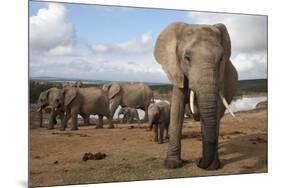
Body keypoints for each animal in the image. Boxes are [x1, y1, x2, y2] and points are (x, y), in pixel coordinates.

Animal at [153, 22, 236, 170]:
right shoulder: (177, 70)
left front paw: (212, 166)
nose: (199, 162)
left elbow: (214, 113)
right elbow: (177, 110)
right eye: (187, 58)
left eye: (221, 59)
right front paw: (172, 164)